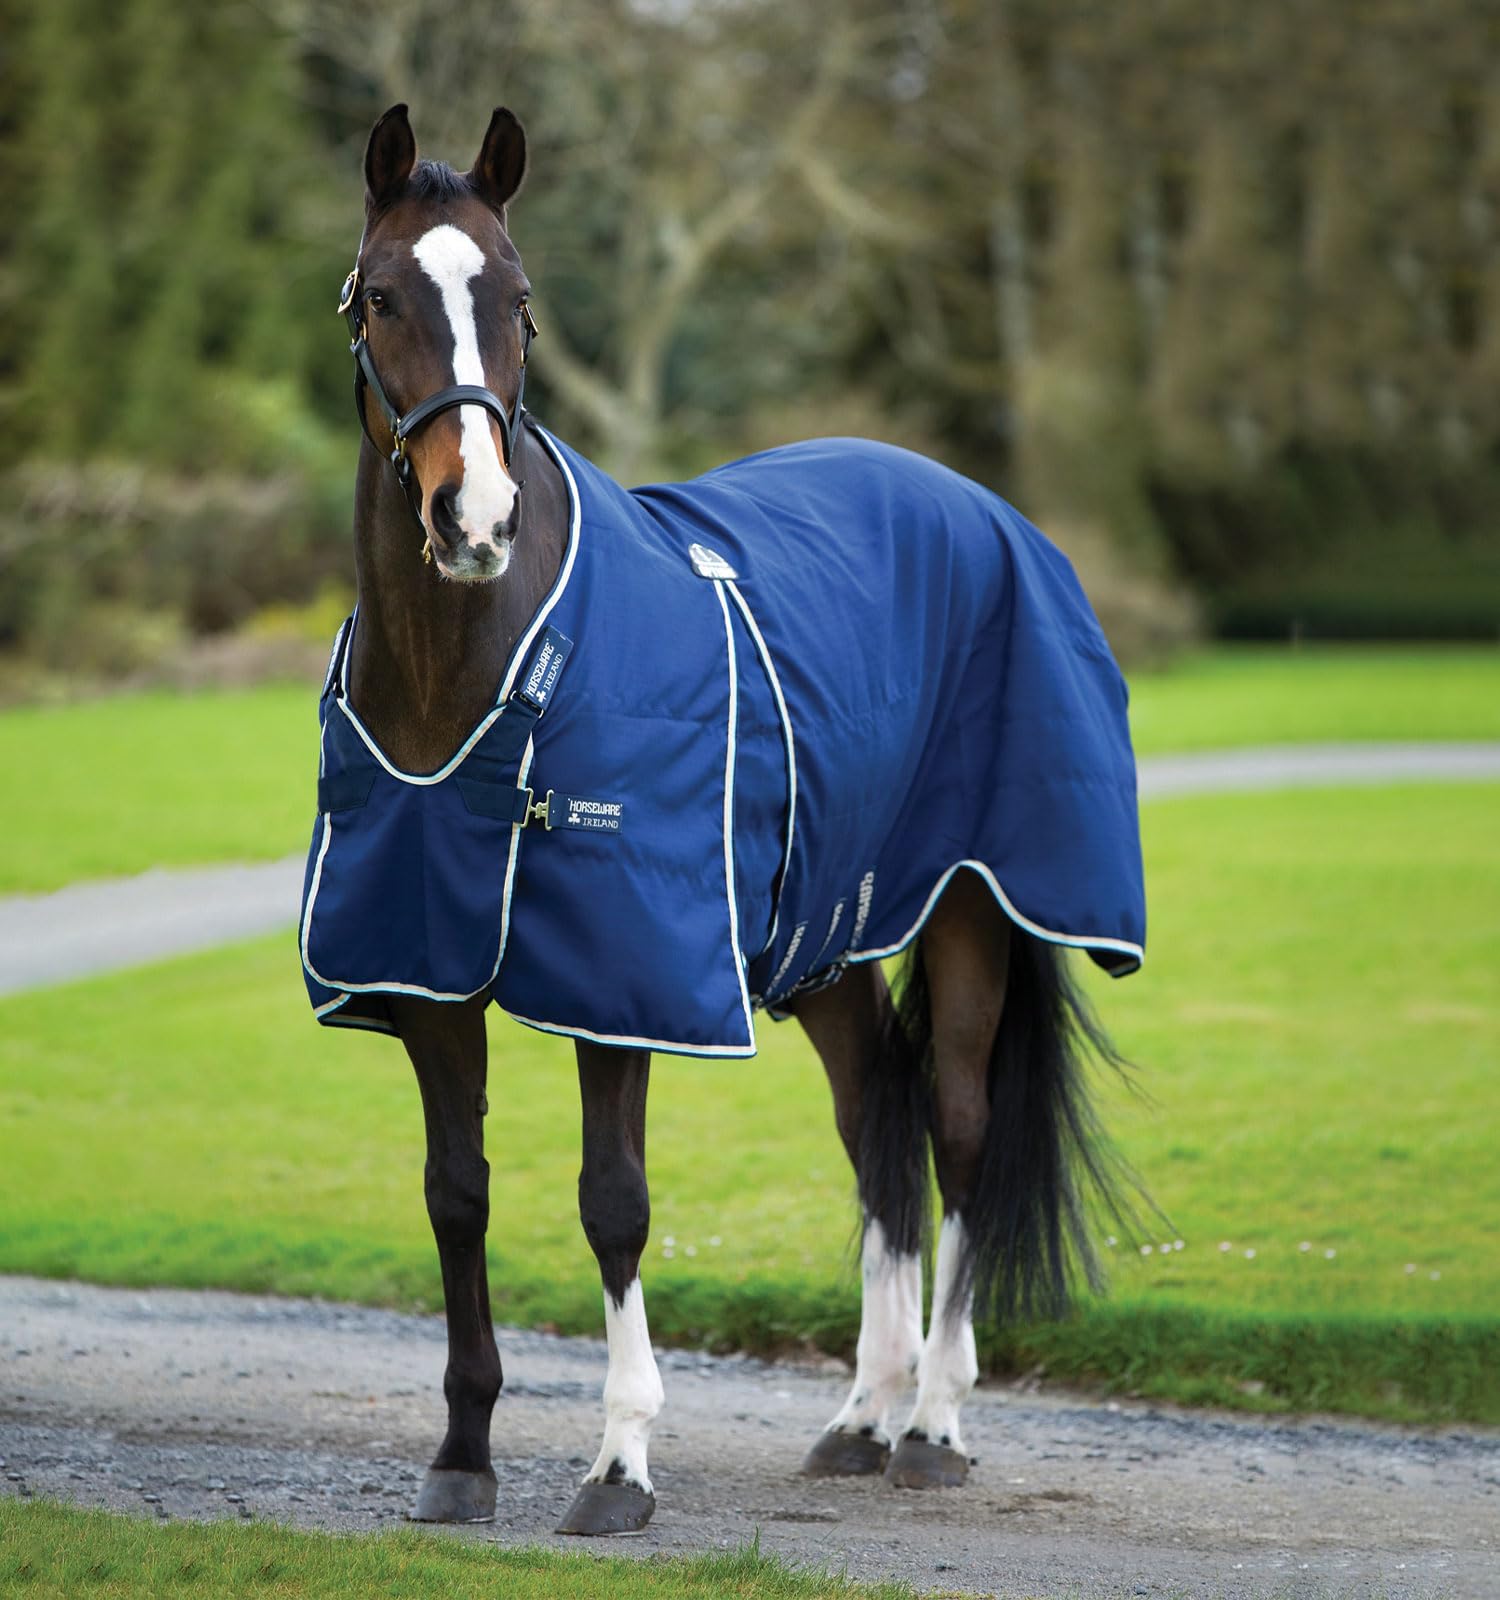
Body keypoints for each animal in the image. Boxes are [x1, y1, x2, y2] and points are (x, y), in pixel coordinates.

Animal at [297, 103, 1147, 1536]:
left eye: (521, 301)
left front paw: (620, 1466)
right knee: (878, 1128)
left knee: (958, 1128)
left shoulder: (626, 978)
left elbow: (614, 1205)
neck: (480, 664)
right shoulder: (427, 972)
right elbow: (456, 1196)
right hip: (828, 938)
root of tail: (988, 510)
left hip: (973, 907)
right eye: (381, 296)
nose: (474, 518)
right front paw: (462, 1456)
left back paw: (934, 1423)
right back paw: (862, 1415)